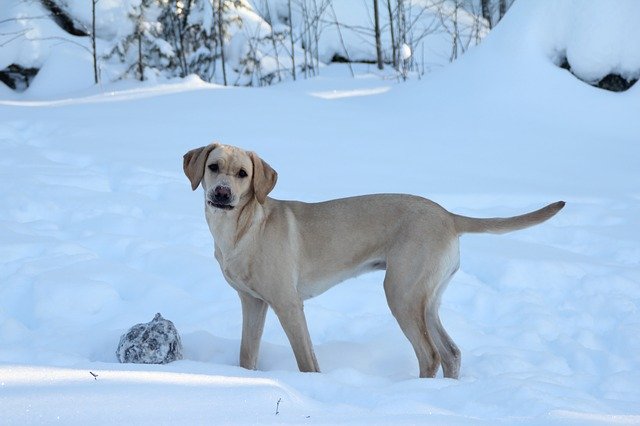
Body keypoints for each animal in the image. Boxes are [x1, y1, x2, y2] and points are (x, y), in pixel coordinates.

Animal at [182, 144, 564, 380]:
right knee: (451, 352)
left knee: (430, 355)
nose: (221, 193)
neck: (241, 230)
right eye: (213, 167)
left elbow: (307, 361)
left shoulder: (287, 304)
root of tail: (448, 216)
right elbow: (247, 356)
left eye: (243, 174)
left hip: (400, 293)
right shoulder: (253, 302)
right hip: (425, 299)